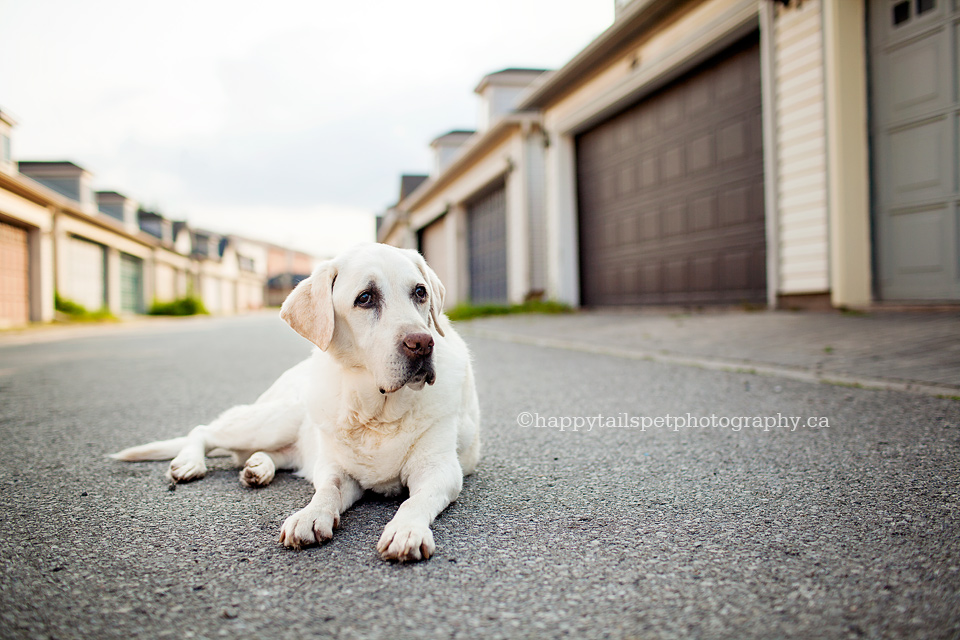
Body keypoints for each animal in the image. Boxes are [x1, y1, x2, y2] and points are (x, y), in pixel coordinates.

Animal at [110, 242, 480, 564]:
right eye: (365, 298)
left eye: (420, 292)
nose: (423, 343)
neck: (377, 410)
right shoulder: (335, 468)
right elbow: (326, 491)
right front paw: (310, 516)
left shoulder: (439, 470)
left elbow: (414, 502)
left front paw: (406, 530)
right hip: (276, 418)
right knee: (206, 430)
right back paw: (191, 462)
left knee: (267, 454)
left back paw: (258, 467)